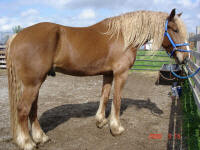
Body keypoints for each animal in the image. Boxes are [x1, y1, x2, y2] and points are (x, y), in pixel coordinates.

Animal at [6, 9, 189, 150]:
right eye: (175, 29)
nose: (185, 58)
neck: (123, 36)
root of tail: (17, 36)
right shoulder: (121, 73)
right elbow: (117, 99)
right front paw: (116, 128)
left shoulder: (108, 74)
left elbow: (105, 96)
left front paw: (101, 121)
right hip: (33, 83)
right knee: (23, 109)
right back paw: (27, 143)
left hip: (36, 83)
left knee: (33, 109)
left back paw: (40, 137)